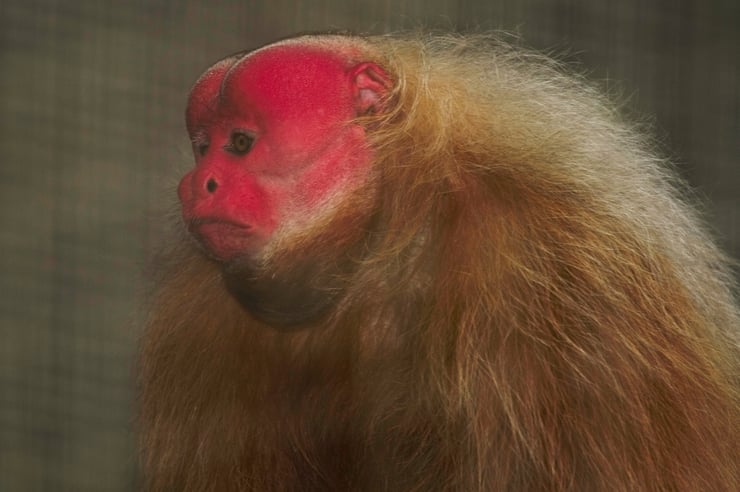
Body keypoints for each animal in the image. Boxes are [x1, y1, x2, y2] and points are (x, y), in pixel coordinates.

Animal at [139, 33, 739, 491]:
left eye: (240, 143)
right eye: (202, 146)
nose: (198, 184)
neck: (387, 231)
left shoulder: (538, 274)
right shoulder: (209, 320)